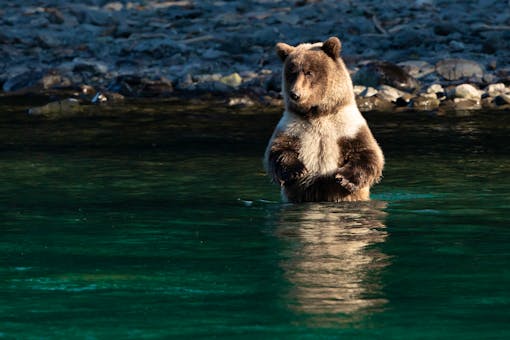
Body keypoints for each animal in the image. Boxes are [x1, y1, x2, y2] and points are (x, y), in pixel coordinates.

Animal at [264, 37, 384, 202]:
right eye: (291, 72)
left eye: (309, 72)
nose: (295, 94)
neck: (317, 113)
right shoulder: (292, 126)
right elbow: (278, 150)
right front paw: (297, 171)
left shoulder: (347, 125)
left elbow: (368, 153)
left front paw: (344, 178)